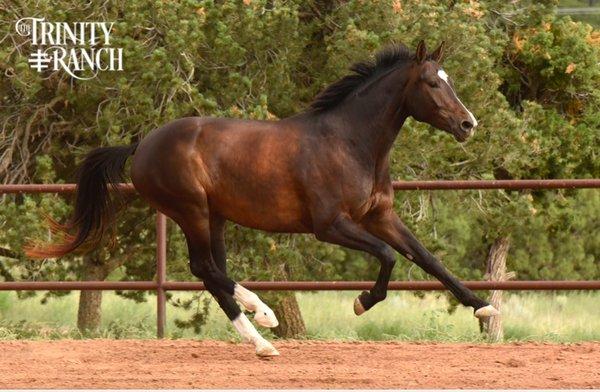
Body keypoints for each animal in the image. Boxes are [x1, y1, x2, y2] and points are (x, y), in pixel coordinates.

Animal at [28, 41, 496, 356]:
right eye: (431, 83)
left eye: (449, 81)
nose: (468, 124)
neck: (349, 142)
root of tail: (141, 145)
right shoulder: (331, 226)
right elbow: (389, 257)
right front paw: (362, 302)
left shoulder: (381, 216)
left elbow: (428, 259)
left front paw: (483, 309)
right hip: (192, 211)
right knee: (206, 269)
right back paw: (264, 322)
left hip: (214, 216)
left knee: (213, 272)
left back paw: (261, 333)